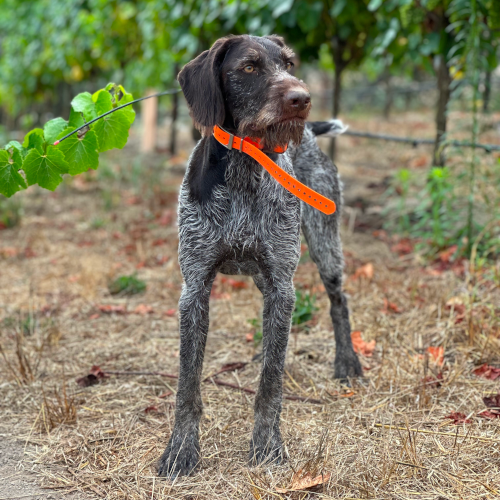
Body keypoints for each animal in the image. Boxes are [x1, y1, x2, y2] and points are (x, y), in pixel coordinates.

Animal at [158, 33, 362, 478]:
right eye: (249, 66)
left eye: (288, 63)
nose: (302, 98)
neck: (244, 167)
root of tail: (312, 135)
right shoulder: (195, 288)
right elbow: (187, 384)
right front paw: (181, 450)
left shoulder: (282, 284)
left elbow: (272, 380)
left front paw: (267, 445)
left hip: (325, 246)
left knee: (338, 301)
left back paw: (348, 363)